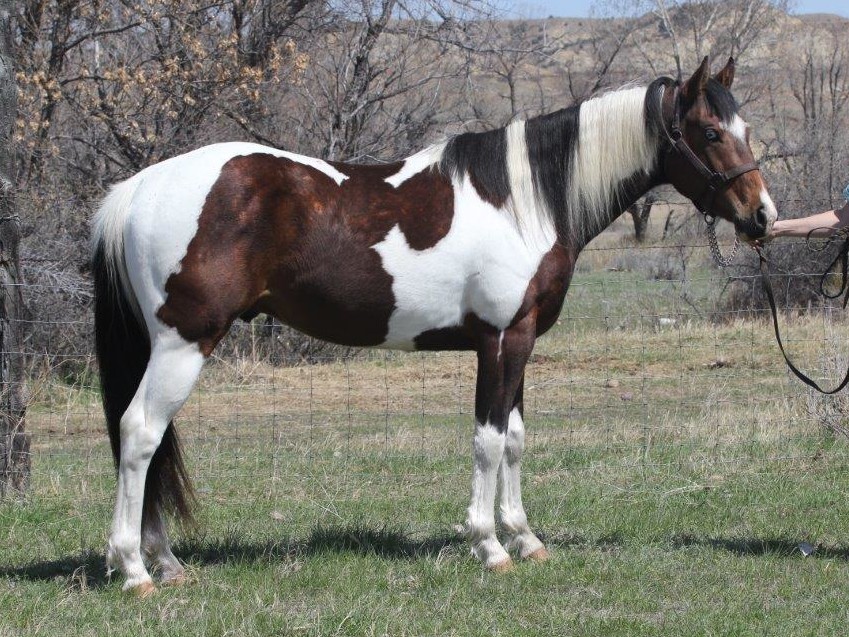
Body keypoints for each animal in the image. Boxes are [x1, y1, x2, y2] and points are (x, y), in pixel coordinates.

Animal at [91, 56, 776, 595]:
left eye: (744, 129)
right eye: (709, 131)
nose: (762, 216)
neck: (524, 202)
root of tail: (138, 189)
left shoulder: (520, 339)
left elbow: (516, 439)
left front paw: (525, 538)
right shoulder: (501, 339)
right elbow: (489, 440)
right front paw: (489, 546)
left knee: (147, 441)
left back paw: (166, 562)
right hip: (183, 343)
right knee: (140, 433)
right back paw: (135, 570)